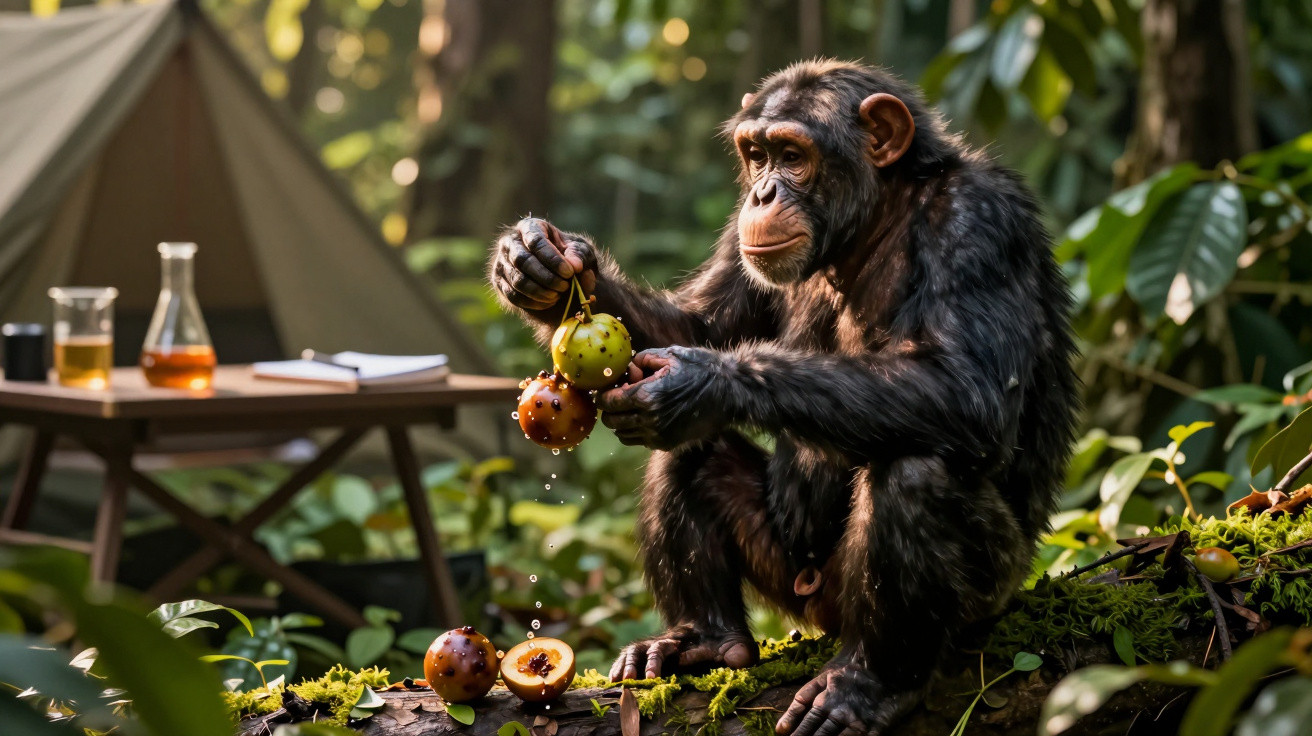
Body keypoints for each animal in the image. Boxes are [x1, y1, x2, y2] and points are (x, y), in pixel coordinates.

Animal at [489, 59, 1078, 736]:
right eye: (756, 155)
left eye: (793, 156)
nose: (763, 194)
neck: (874, 223)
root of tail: (822, 611)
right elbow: (699, 325)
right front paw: (538, 265)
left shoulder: (977, 221)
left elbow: (968, 388)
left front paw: (702, 385)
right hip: (785, 563)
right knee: (687, 456)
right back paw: (703, 639)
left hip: (985, 588)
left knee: (916, 474)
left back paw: (870, 684)